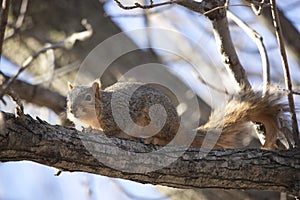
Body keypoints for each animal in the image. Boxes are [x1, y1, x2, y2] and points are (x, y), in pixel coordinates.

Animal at [66, 80, 290, 149]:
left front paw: (95, 132)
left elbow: (111, 132)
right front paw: (86, 128)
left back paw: (154, 139)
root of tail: (178, 126)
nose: (71, 109)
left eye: (88, 97)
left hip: (158, 118)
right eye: (68, 97)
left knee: (167, 137)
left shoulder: (117, 115)